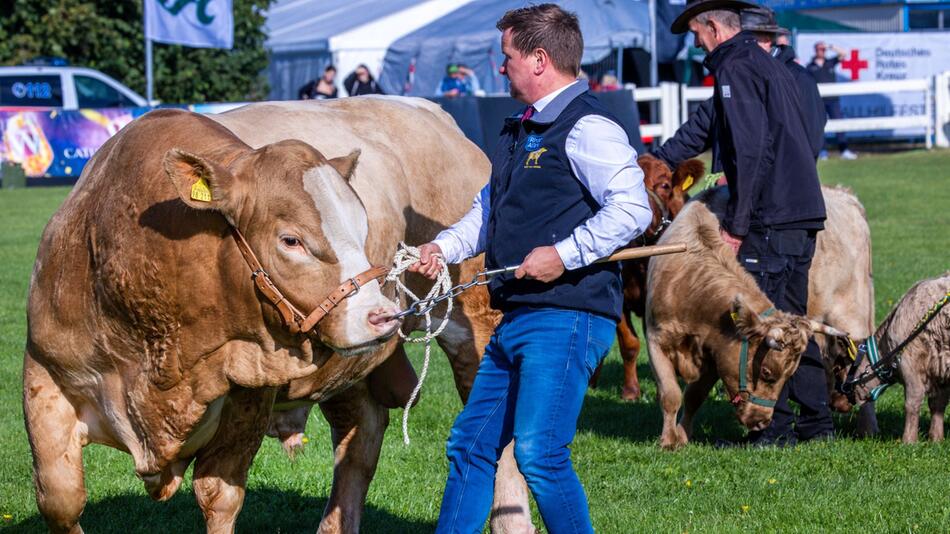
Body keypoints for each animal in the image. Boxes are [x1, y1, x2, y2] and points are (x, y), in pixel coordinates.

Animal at [652, 203, 844, 450]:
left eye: (788, 376)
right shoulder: (656, 340)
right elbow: (671, 395)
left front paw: (683, 435)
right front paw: (668, 441)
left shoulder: (715, 357)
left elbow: (694, 396)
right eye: (766, 372)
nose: (762, 422)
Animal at [844, 274, 948, 446]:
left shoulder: (910, 363)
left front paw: (909, 441)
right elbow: (938, 404)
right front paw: (936, 439)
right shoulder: (940, 368)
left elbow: (912, 402)